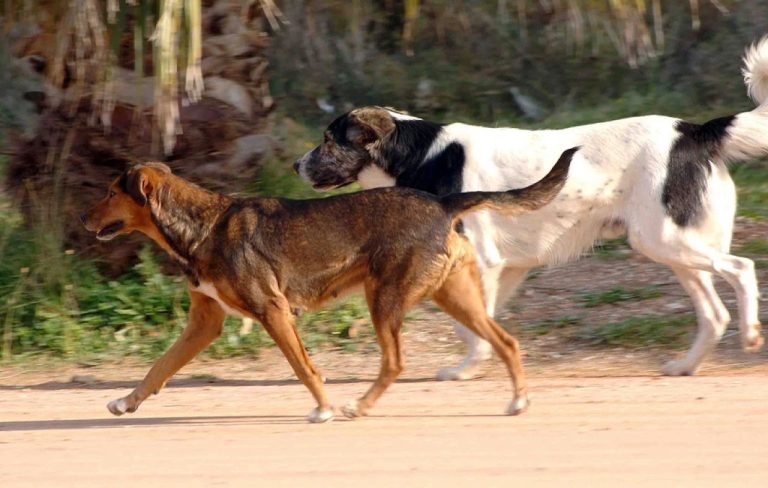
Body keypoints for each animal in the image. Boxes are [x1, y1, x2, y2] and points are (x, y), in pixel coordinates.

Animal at [84, 147, 576, 422]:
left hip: (385, 299)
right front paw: (126, 403)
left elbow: (305, 368)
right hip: (455, 297)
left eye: (110, 192)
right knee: (508, 342)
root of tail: (443, 202)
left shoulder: (274, 311)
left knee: (395, 361)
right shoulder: (204, 323)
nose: (84, 220)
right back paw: (518, 402)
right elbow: (158, 368)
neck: (203, 226)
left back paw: (358, 407)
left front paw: (322, 408)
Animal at [296, 39, 768, 382]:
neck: (421, 155)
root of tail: (694, 131)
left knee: (742, 268)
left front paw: (466, 370)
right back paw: (686, 366)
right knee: (714, 314)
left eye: (329, 140)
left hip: (665, 239)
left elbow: (471, 327)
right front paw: (474, 366)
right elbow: (476, 324)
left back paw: (749, 336)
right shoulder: (505, 268)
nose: (296, 166)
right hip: (674, 248)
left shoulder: (483, 262)